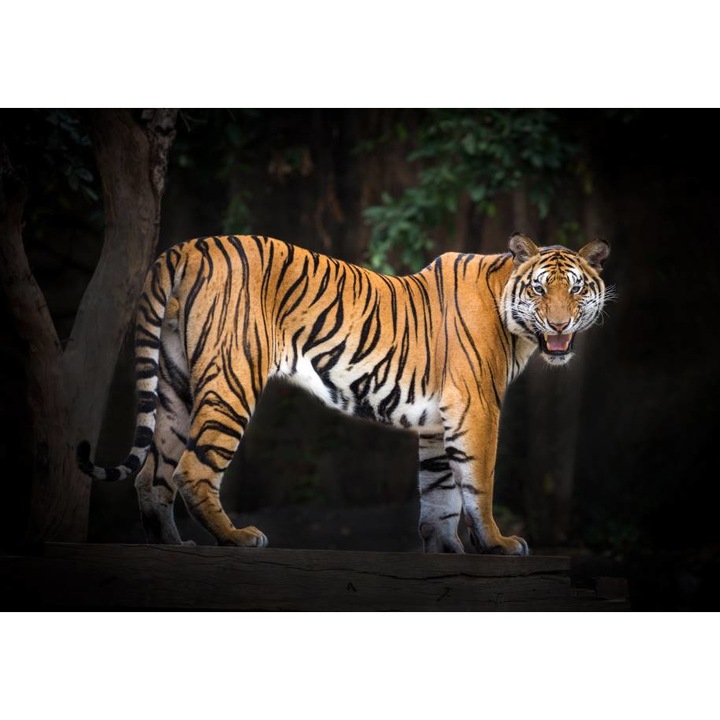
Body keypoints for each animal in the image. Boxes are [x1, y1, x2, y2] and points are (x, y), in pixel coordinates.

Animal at [77, 232, 610, 555]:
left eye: (576, 289)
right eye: (540, 290)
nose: (559, 324)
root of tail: (186, 247)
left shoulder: (440, 421)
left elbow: (440, 492)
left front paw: (446, 550)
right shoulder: (476, 409)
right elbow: (478, 483)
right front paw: (498, 544)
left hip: (175, 385)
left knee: (151, 474)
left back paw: (171, 544)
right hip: (231, 378)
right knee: (191, 469)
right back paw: (238, 537)